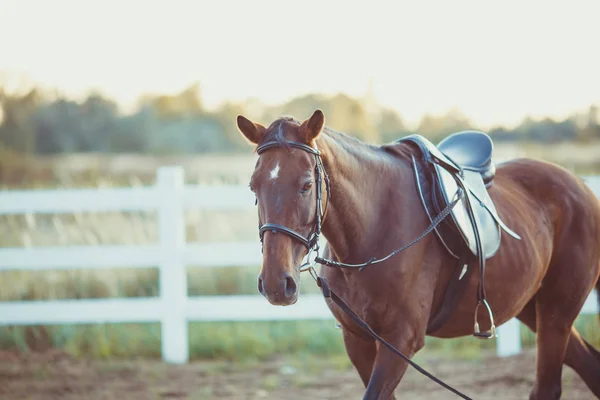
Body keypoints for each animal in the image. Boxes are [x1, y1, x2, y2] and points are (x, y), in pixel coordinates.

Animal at [234, 110, 600, 400]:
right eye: (253, 186)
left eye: (307, 185)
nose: (276, 284)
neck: (372, 232)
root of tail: (580, 185)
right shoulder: (358, 340)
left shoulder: (401, 342)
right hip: (533, 308)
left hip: (556, 311)